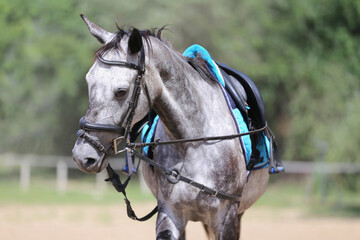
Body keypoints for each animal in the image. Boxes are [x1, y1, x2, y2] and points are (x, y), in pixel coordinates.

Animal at [72, 15, 270, 240]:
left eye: (121, 91)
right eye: (89, 82)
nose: (82, 155)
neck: (195, 142)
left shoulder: (227, 217)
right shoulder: (170, 213)